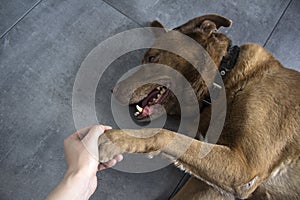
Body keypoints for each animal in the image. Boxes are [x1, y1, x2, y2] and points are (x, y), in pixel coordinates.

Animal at [97, 14, 298, 199]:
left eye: (152, 57)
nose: (114, 90)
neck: (223, 80)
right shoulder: (215, 186)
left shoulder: (244, 170)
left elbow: (165, 134)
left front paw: (114, 139)